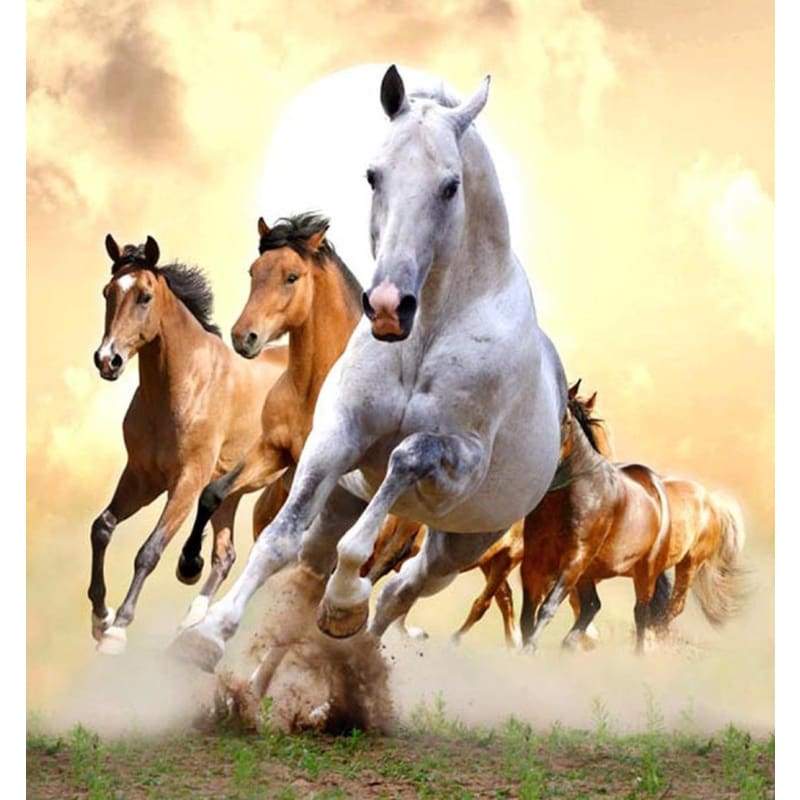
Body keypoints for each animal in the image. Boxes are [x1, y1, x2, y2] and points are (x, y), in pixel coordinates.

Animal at [90, 235, 287, 654]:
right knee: (226, 555)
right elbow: (102, 527)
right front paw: (100, 617)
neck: (184, 385)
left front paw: (118, 629)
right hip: (234, 492)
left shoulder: (187, 481)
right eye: (107, 292)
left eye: (145, 296)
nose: (107, 360)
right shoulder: (142, 478)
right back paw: (193, 620)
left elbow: (149, 550)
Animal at [173, 65, 567, 673]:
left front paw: (343, 602)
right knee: (317, 571)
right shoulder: (335, 437)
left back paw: (350, 640)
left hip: (460, 544)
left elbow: (401, 466)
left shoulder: (458, 464)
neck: (425, 335)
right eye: (373, 175)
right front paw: (209, 633)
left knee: (401, 590)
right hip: (344, 502)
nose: (387, 307)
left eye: (451, 185)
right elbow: (279, 538)